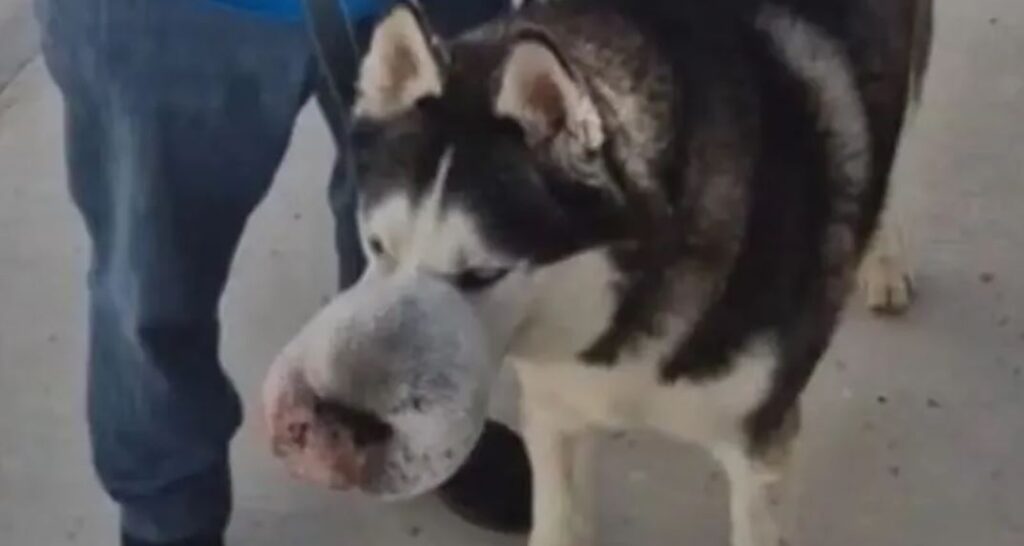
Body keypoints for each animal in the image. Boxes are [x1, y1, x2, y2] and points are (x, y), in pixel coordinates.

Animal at [262, 0, 929, 540]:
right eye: (377, 246)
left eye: (482, 275)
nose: (333, 430)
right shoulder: (556, 415)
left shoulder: (761, 454)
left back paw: (883, 259)